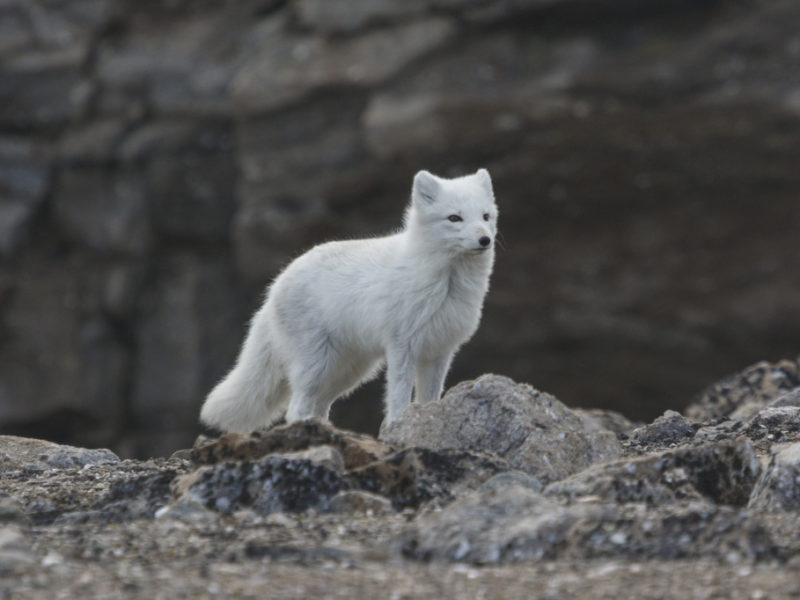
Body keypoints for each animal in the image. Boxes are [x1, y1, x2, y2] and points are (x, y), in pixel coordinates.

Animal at [200, 169, 496, 432]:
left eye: (486, 216)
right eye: (454, 218)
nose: (485, 239)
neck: (447, 285)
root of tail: (274, 287)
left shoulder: (440, 351)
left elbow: (428, 398)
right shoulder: (402, 346)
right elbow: (398, 396)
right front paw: (398, 424)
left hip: (350, 371)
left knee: (319, 405)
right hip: (316, 366)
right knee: (296, 408)